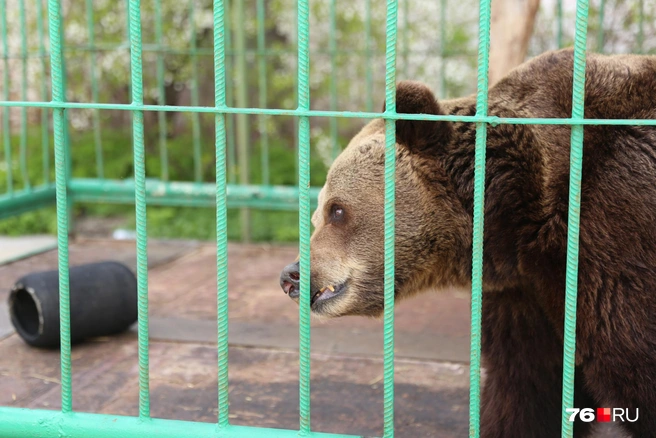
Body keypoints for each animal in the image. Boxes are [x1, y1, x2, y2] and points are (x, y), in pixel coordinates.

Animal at [280, 48, 656, 438]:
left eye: (337, 210)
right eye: (317, 215)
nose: (291, 275)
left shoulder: (614, 234)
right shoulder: (524, 295)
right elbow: (527, 387)